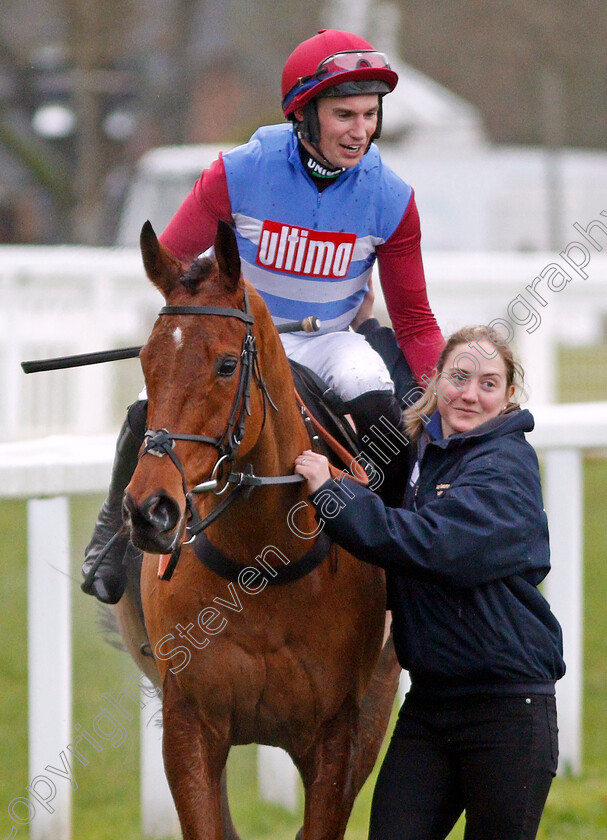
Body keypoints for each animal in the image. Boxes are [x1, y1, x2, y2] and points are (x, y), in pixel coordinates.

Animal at [115, 220, 400, 836]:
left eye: (226, 365)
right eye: (147, 362)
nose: (150, 511)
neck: (261, 563)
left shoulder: (337, 733)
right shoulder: (189, 726)